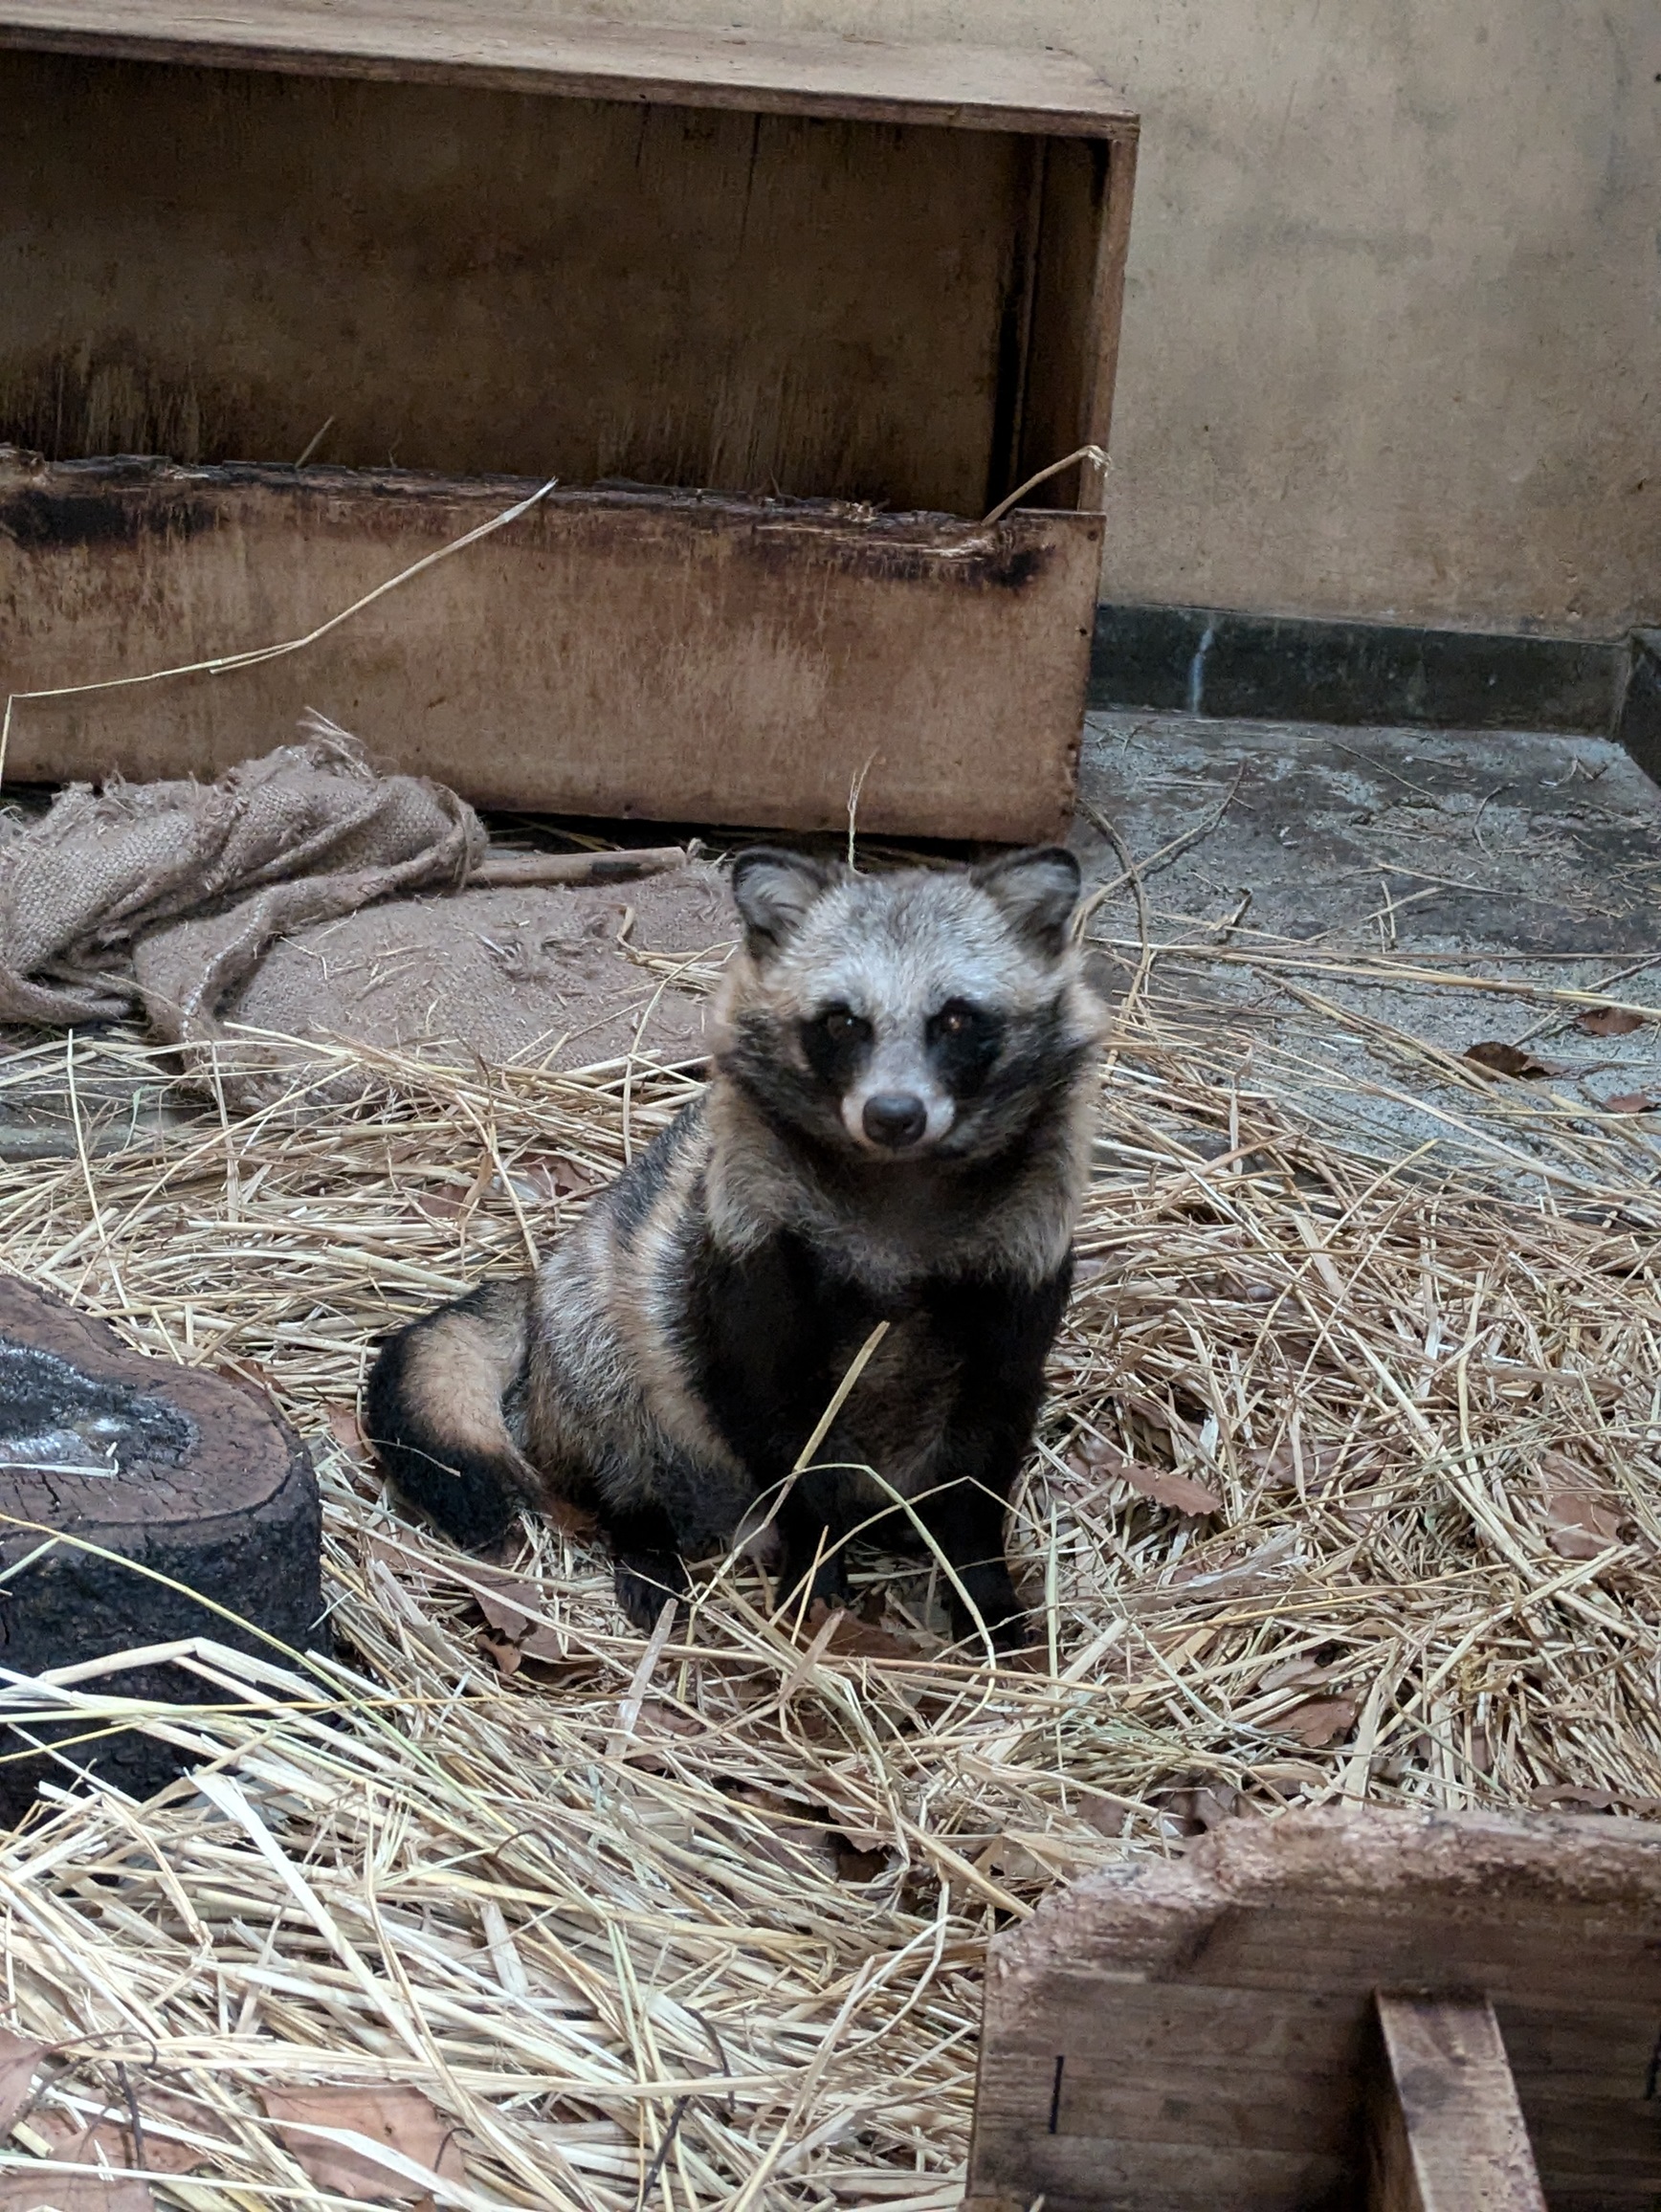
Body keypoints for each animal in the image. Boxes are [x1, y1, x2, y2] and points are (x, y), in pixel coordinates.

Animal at [371, 845, 1110, 1663]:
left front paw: (983, 1588)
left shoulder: (1018, 1273)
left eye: (955, 1018)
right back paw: (646, 1543)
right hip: (590, 1334)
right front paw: (814, 1565)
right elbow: (777, 1428)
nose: (893, 1114)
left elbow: (985, 1454)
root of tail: (538, 1291)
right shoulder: (748, 1261)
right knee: (615, 1429)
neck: (894, 1199)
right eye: (841, 1022)